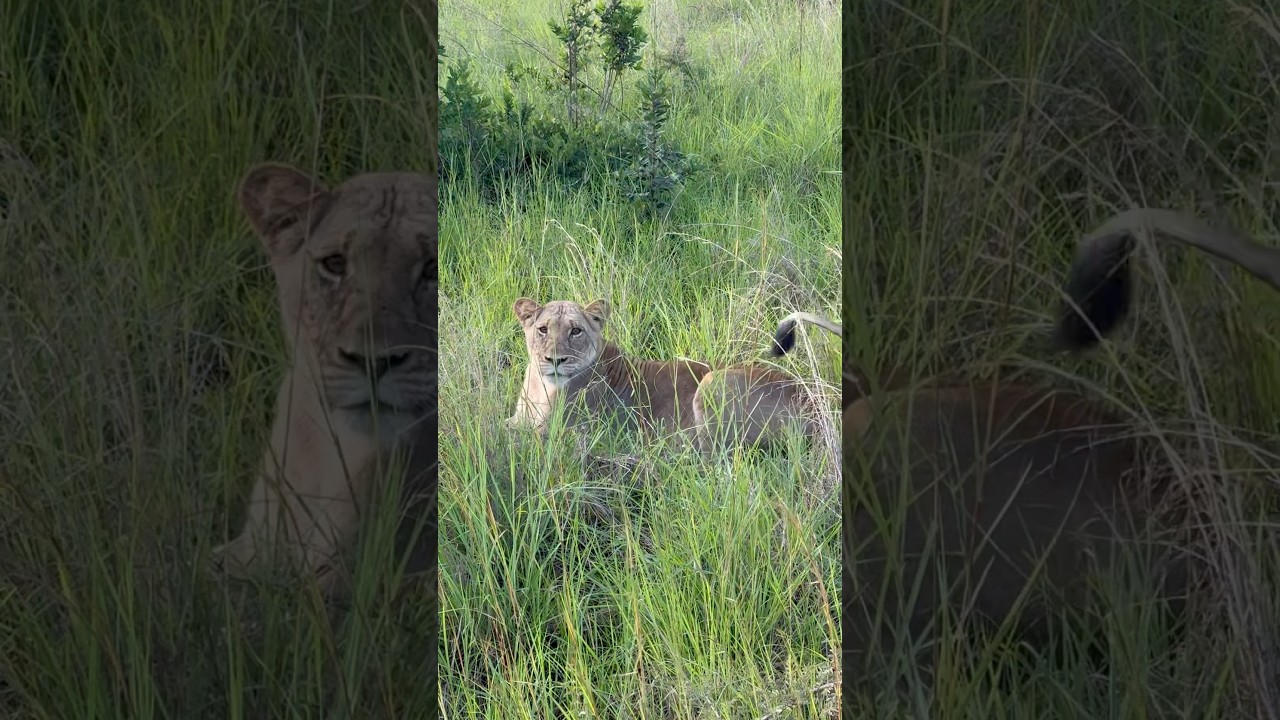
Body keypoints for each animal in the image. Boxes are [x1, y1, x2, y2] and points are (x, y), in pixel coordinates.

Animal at [505, 298, 841, 450]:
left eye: (576, 331)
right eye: (542, 329)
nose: (555, 360)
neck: (541, 387)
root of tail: (811, 400)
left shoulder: (569, 434)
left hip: (712, 383)